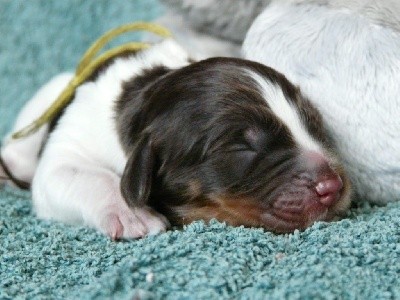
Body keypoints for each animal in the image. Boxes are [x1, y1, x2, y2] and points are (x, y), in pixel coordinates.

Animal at [0, 39, 350, 239]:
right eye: (242, 146)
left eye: (313, 123)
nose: (333, 186)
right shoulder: (70, 142)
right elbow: (79, 174)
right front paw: (132, 213)